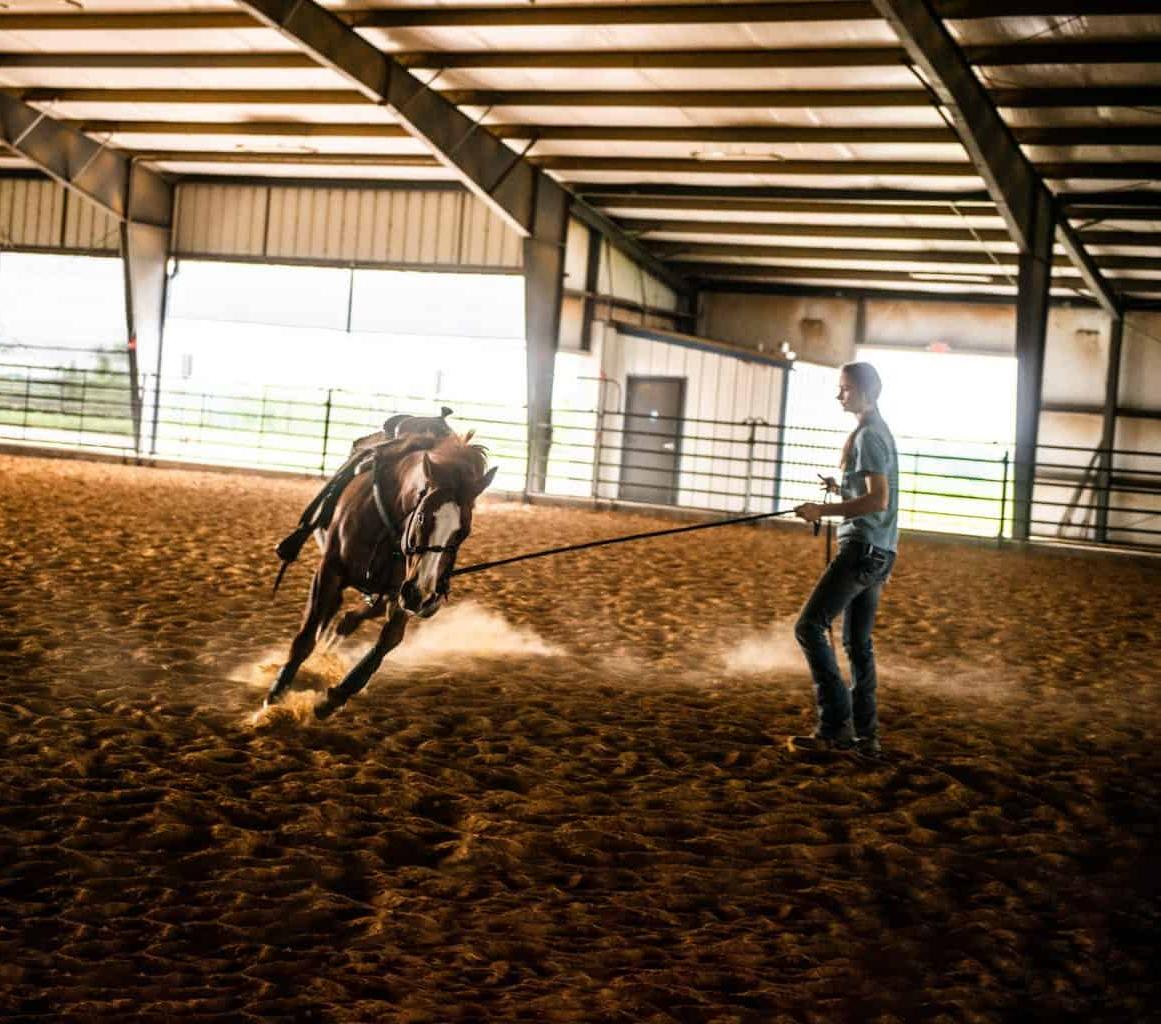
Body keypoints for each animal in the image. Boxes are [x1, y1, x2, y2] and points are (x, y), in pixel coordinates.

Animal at [267, 431, 499, 719]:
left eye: (463, 531)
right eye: (422, 518)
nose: (426, 596)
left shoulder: (403, 592)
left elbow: (388, 641)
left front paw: (335, 697)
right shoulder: (329, 571)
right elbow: (306, 637)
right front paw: (276, 693)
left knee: (348, 619)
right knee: (333, 614)